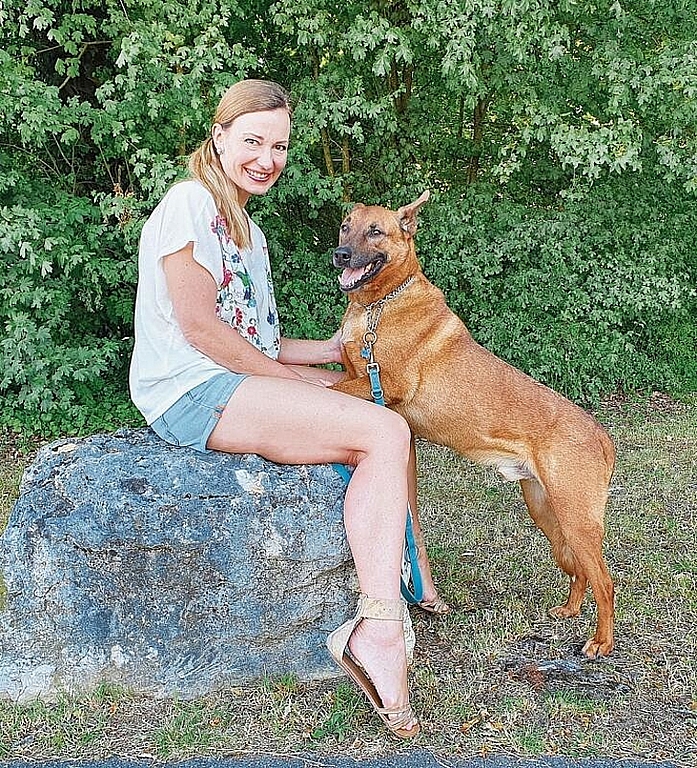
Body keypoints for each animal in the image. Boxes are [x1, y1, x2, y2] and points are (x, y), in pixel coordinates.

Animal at [332, 192, 616, 660]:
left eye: (375, 231)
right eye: (345, 226)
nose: (339, 254)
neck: (378, 305)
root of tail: (601, 435)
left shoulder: (381, 383)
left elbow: (329, 384)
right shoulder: (362, 378)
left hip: (577, 519)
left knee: (605, 581)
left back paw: (601, 642)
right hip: (548, 514)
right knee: (580, 572)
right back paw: (570, 611)